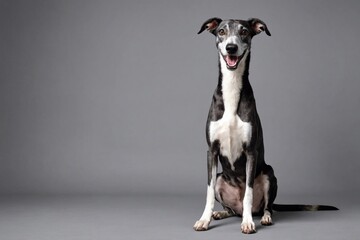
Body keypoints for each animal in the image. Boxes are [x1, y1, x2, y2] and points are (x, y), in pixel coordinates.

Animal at [194, 17, 338, 234]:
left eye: (244, 31)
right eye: (221, 31)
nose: (231, 47)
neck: (232, 87)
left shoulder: (251, 152)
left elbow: (248, 192)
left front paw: (248, 223)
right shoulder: (211, 150)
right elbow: (209, 191)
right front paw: (205, 219)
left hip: (270, 175)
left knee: (265, 206)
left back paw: (263, 217)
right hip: (221, 176)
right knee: (231, 208)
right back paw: (221, 213)